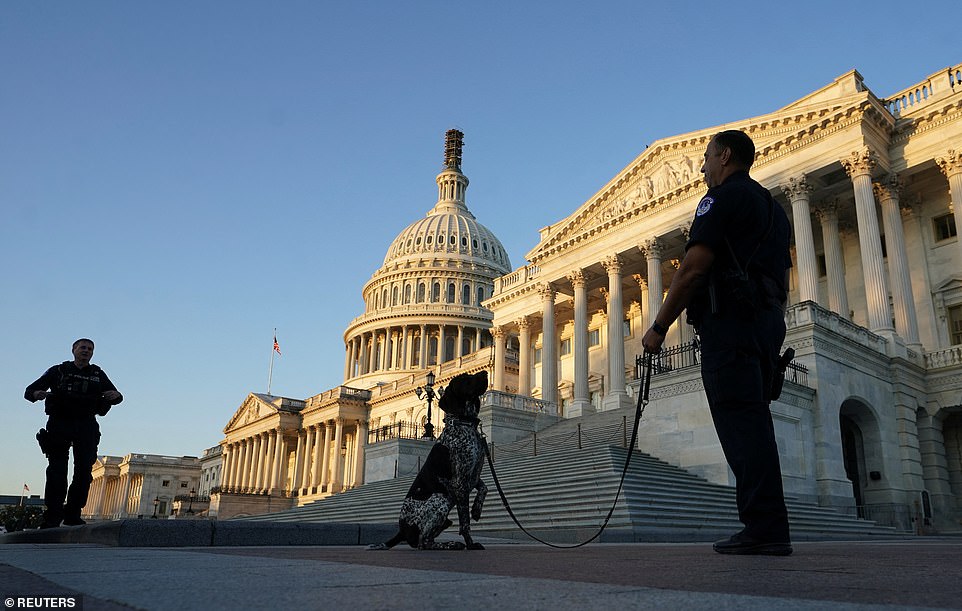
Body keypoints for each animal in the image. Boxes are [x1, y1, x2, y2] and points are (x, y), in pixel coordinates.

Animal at [368, 370, 488, 552]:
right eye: (465, 379)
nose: (486, 372)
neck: (464, 423)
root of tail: (402, 531)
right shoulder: (461, 482)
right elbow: (465, 523)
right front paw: (471, 544)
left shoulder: (472, 475)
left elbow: (484, 488)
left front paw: (476, 510)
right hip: (440, 500)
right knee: (422, 543)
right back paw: (451, 544)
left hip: (445, 517)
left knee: (426, 540)